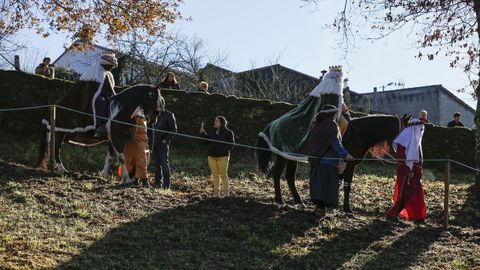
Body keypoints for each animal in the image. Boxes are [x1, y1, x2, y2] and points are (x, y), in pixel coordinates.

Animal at [256, 114, 404, 213]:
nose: (400, 154)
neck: (359, 133)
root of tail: (273, 124)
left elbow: (337, 182)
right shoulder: (349, 164)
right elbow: (346, 186)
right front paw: (346, 209)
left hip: (291, 157)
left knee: (289, 177)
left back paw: (299, 201)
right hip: (283, 156)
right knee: (277, 174)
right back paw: (279, 199)